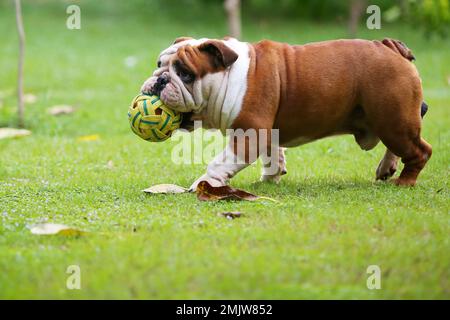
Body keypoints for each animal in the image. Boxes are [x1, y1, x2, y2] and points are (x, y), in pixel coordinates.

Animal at [141, 37, 432, 190]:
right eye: (159, 64)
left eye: (185, 74)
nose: (160, 80)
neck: (229, 77)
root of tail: (388, 46)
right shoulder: (267, 133)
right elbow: (272, 154)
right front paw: (271, 177)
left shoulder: (248, 135)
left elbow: (218, 162)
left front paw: (204, 183)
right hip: (390, 120)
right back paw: (387, 168)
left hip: (393, 119)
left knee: (420, 151)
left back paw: (405, 181)